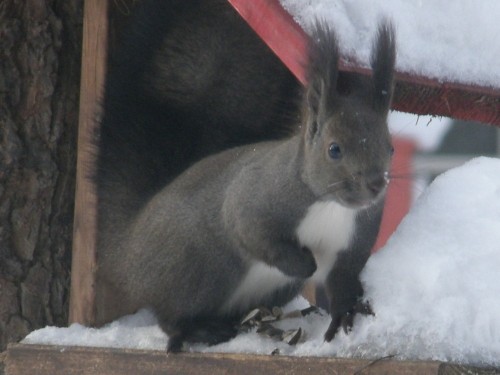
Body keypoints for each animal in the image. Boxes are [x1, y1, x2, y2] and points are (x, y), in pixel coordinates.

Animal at [94, 0, 394, 354]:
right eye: (334, 149)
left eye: (390, 147)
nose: (375, 184)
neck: (329, 205)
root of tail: (126, 247)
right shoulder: (254, 198)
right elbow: (253, 234)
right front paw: (305, 263)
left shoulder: (354, 240)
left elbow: (343, 279)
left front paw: (345, 311)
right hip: (202, 270)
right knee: (170, 317)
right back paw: (201, 330)